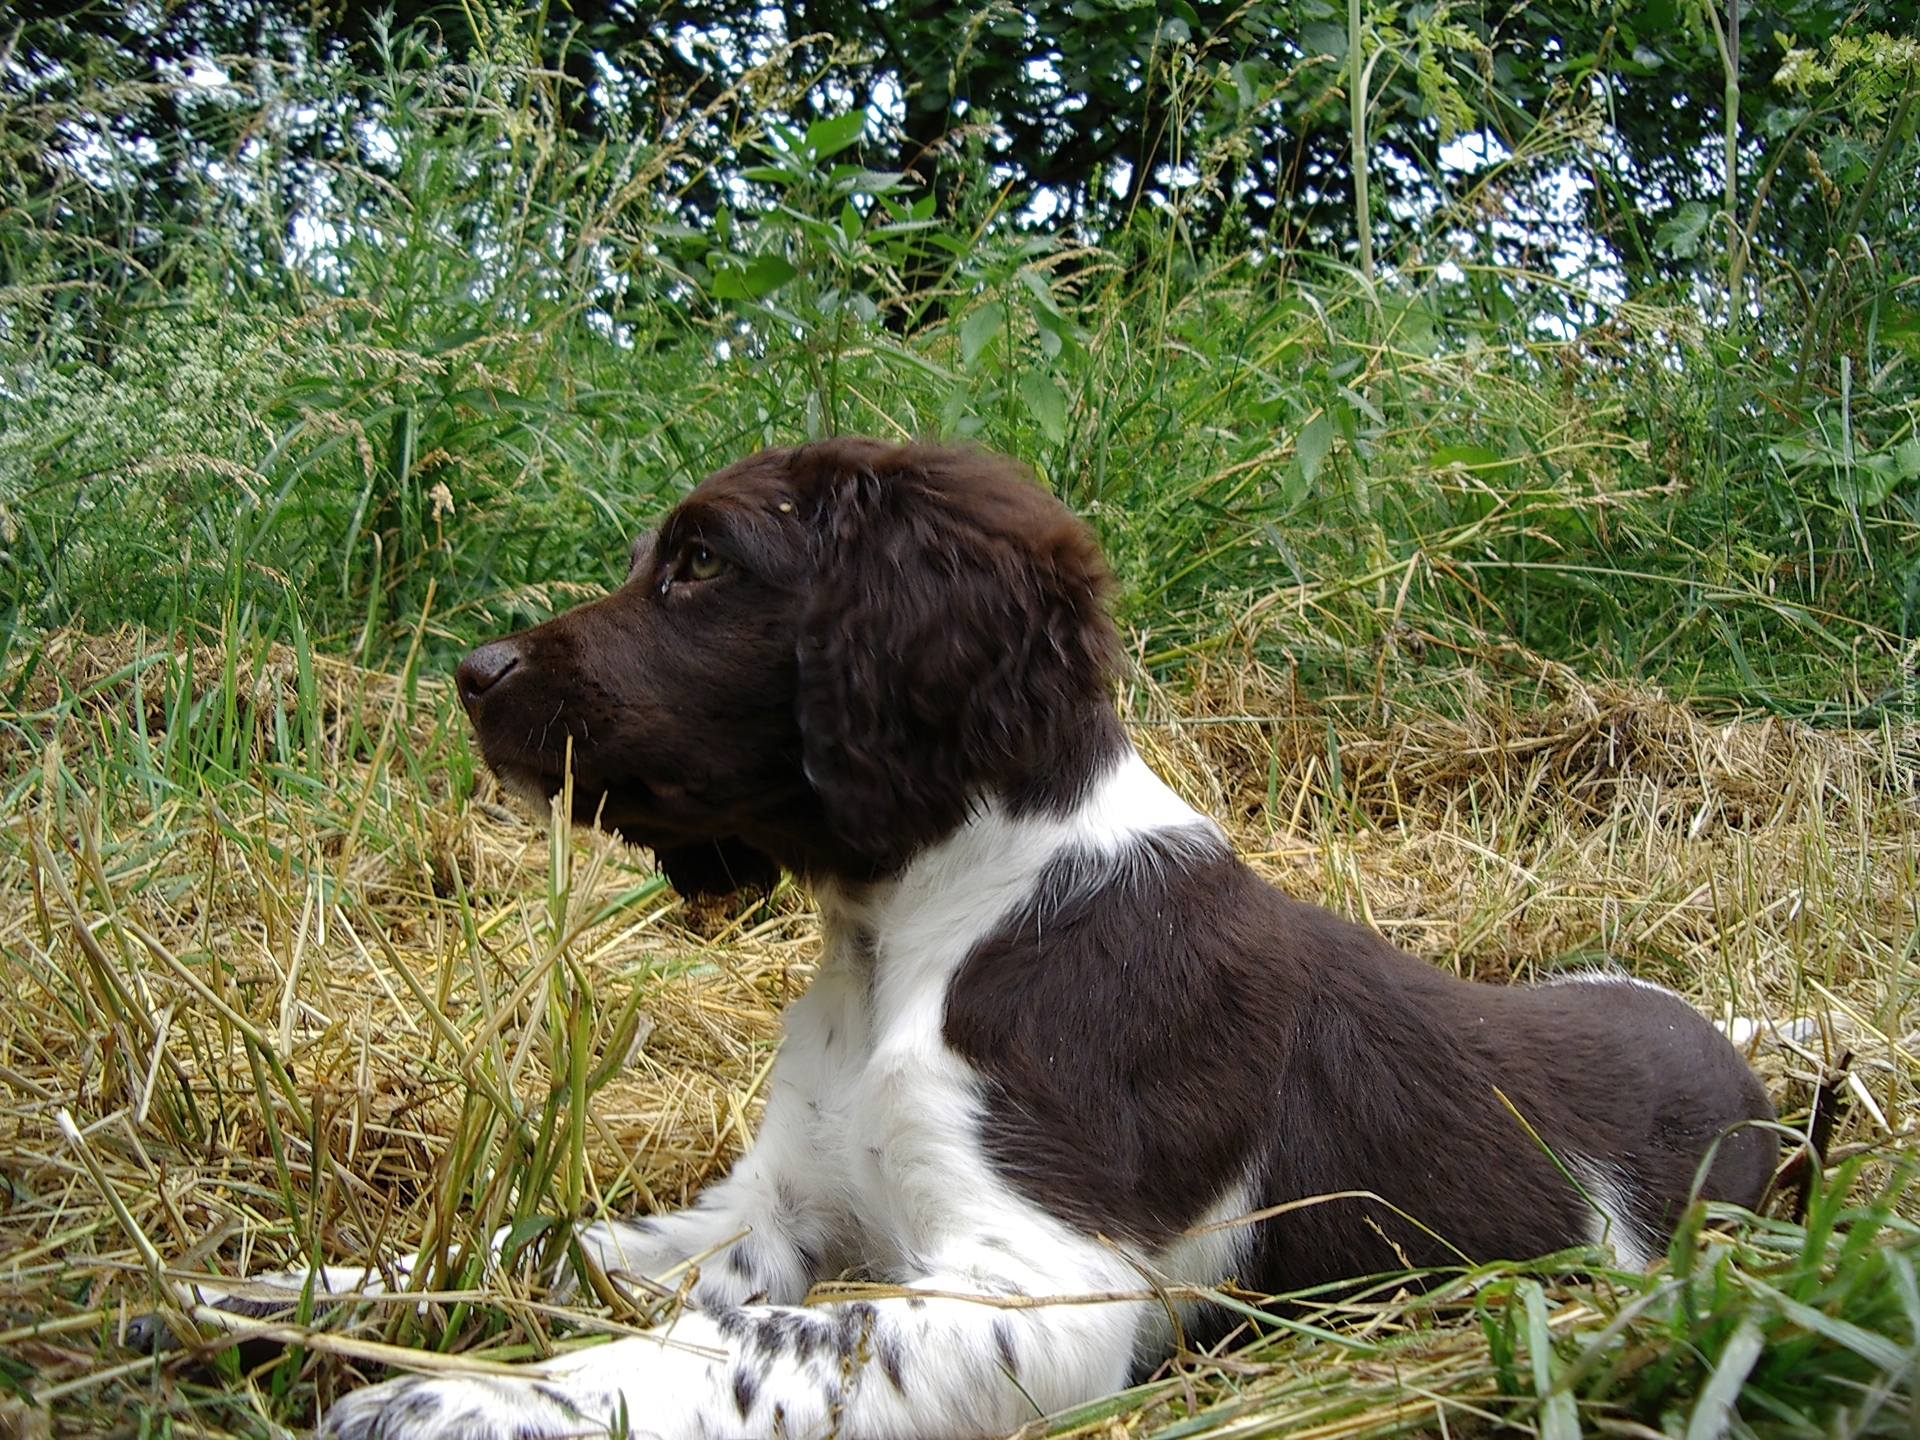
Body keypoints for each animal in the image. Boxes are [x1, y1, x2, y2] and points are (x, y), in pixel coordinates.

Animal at [311, 439, 1766, 1440]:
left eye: (704, 563)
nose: (474, 674)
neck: (918, 933)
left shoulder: (1045, 1287)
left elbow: (755, 1349)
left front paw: (461, 1402)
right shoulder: (768, 1215)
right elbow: (553, 1249)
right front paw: (310, 1294)